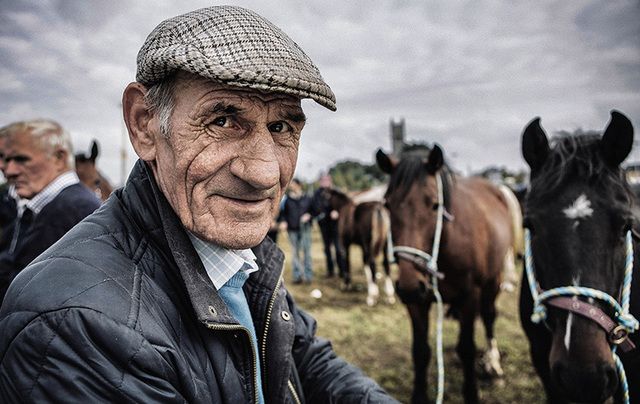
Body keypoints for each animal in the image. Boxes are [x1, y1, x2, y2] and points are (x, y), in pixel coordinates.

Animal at [378, 144, 516, 402]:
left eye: (434, 205)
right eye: (387, 205)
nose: (409, 286)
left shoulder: (470, 296)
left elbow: (467, 348)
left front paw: (471, 393)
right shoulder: (417, 302)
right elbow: (420, 351)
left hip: (493, 280)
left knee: (489, 316)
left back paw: (493, 364)